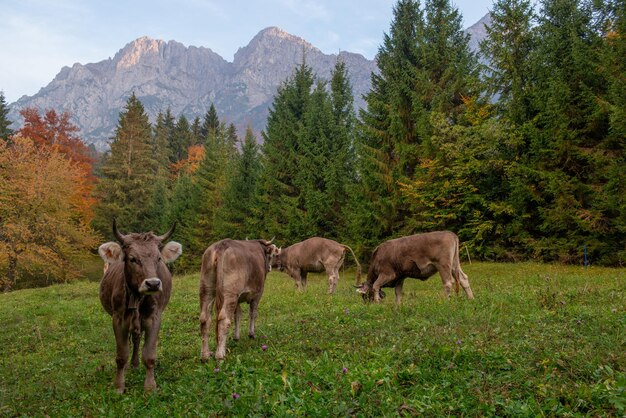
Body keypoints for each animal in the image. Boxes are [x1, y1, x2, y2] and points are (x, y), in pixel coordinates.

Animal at [97, 220, 180, 394]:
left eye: (159, 258)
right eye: (132, 259)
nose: (153, 284)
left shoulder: (154, 317)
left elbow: (149, 355)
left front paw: (150, 387)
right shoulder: (118, 319)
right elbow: (121, 355)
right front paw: (119, 386)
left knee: (137, 338)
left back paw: (135, 364)